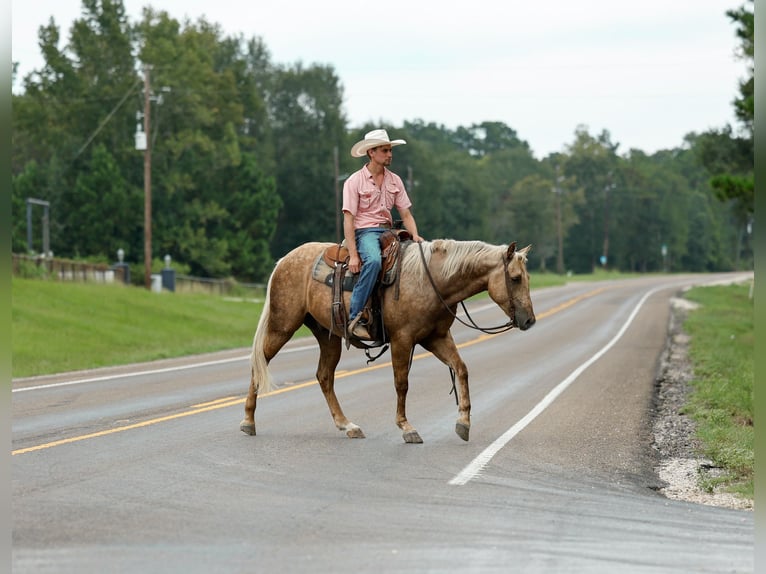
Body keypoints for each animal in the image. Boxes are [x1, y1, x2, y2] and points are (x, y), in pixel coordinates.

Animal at [238, 238, 536, 446]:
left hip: (328, 335)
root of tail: (284, 260)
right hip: (283, 325)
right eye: (515, 278)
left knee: (324, 376)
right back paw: (248, 421)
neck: (432, 281)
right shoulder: (402, 339)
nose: (530, 320)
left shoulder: (436, 338)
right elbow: (401, 383)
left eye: (527, 278)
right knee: (259, 363)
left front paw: (463, 423)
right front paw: (407, 428)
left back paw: (348, 426)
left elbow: (460, 369)